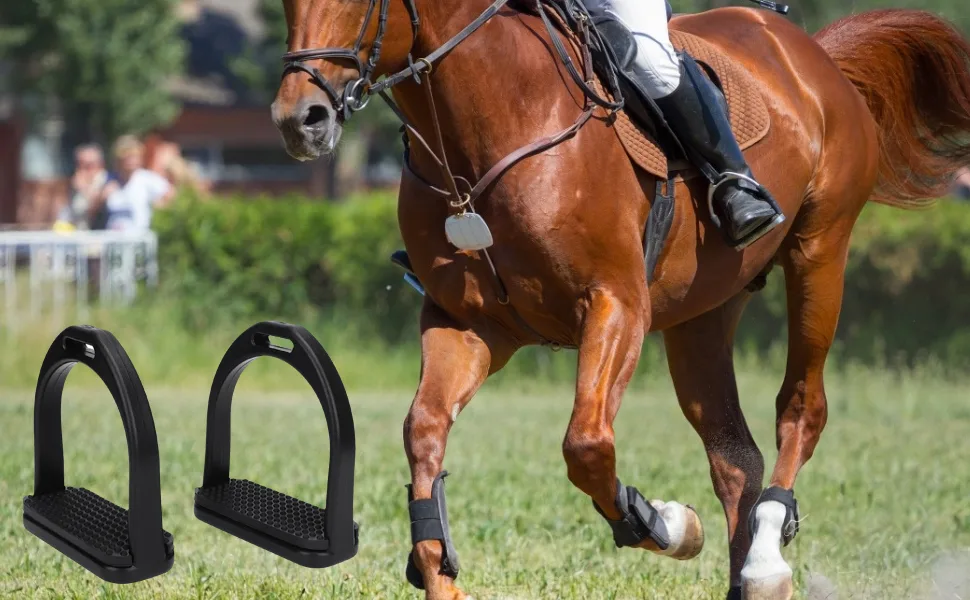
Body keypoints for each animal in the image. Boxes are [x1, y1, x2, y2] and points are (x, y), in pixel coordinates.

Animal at [271, 1, 970, 598]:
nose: (299, 120)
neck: (492, 126)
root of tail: (809, 50)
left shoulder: (617, 304)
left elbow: (586, 445)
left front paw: (665, 522)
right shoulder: (468, 324)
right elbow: (424, 431)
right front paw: (434, 565)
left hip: (819, 254)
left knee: (802, 407)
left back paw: (766, 561)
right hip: (703, 312)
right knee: (733, 454)